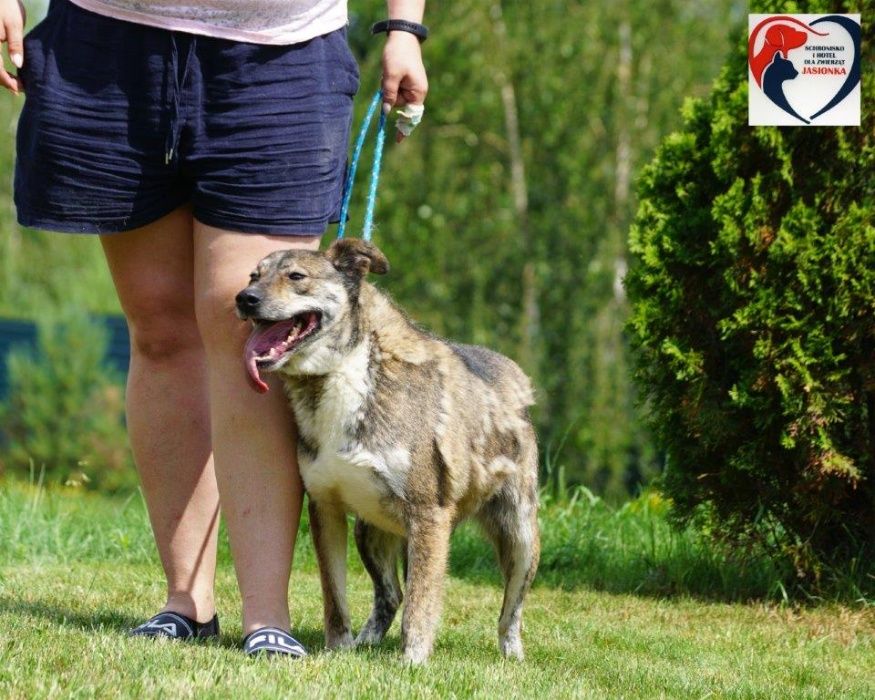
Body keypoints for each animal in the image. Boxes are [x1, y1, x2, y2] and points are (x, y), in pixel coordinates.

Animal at [238, 238, 540, 664]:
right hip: (370, 531)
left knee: (509, 610)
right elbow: (335, 596)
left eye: (296, 276)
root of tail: (516, 383)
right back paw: (366, 642)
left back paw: (512, 655)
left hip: (520, 535)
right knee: (390, 593)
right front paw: (338, 650)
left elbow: (421, 603)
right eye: (254, 275)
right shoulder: (325, 508)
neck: (346, 371)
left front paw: (412, 662)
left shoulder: (429, 515)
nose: (244, 299)